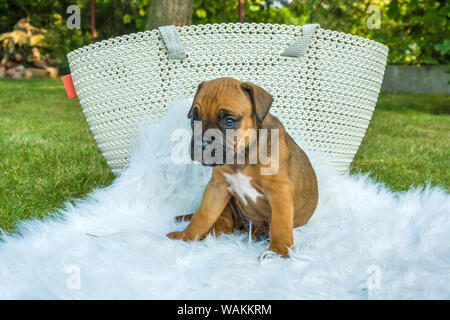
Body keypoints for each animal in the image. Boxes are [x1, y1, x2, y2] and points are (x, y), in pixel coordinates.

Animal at [167, 77, 318, 258]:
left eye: (229, 122)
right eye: (193, 119)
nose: (201, 145)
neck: (241, 157)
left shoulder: (279, 191)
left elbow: (280, 224)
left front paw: (278, 252)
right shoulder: (217, 187)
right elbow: (202, 215)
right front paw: (186, 236)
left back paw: (262, 233)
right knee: (224, 224)